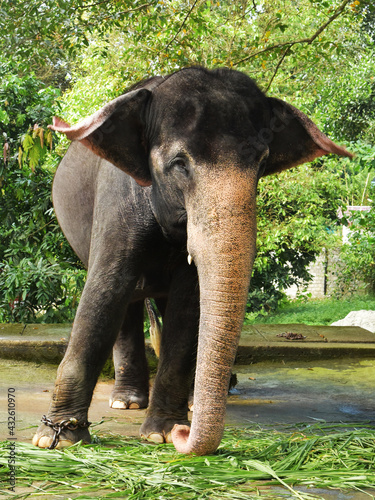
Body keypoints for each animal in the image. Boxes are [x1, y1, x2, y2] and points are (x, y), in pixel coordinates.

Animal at [31, 67, 352, 458]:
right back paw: (127, 401)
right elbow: (105, 291)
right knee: (127, 303)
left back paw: (187, 403)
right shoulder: (117, 200)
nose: (185, 434)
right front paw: (57, 438)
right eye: (179, 164)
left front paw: (164, 433)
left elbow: (188, 305)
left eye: (261, 163)